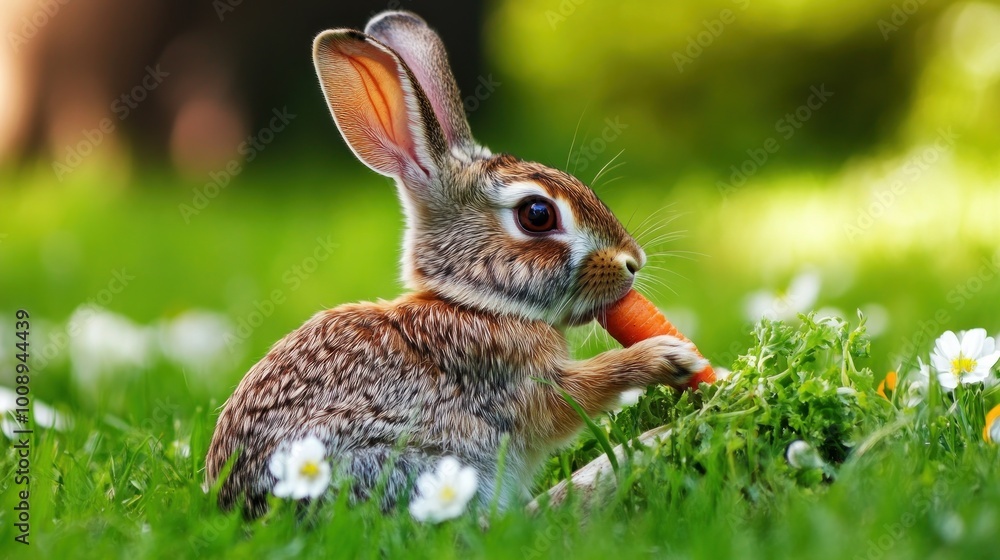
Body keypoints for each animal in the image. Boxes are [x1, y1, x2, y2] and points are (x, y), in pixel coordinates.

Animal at [205, 10, 706, 519]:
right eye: (537, 214)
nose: (633, 262)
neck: (476, 305)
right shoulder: (504, 381)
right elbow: (577, 391)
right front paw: (669, 358)